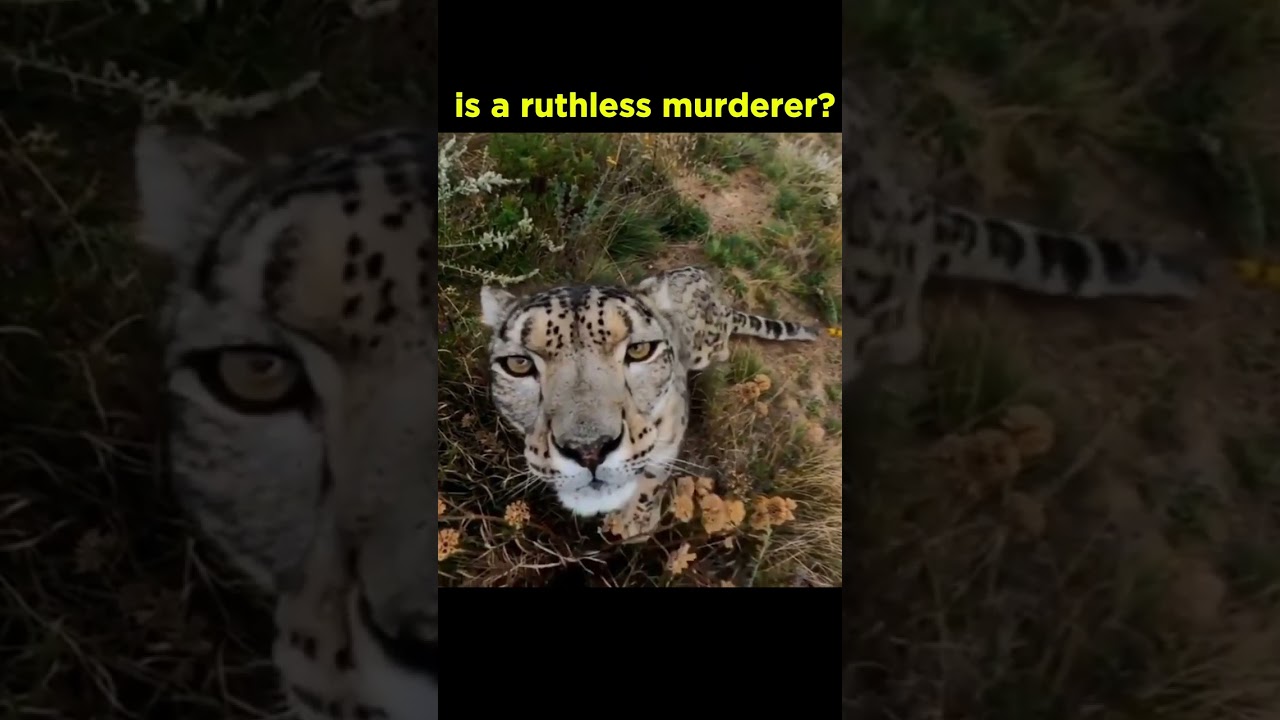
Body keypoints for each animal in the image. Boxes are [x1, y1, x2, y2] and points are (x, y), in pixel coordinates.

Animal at [479, 265, 816, 539]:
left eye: (639, 350)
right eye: (518, 364)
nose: (589, 450)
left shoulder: (670, 436)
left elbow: (652, 477)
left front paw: (636, 522)